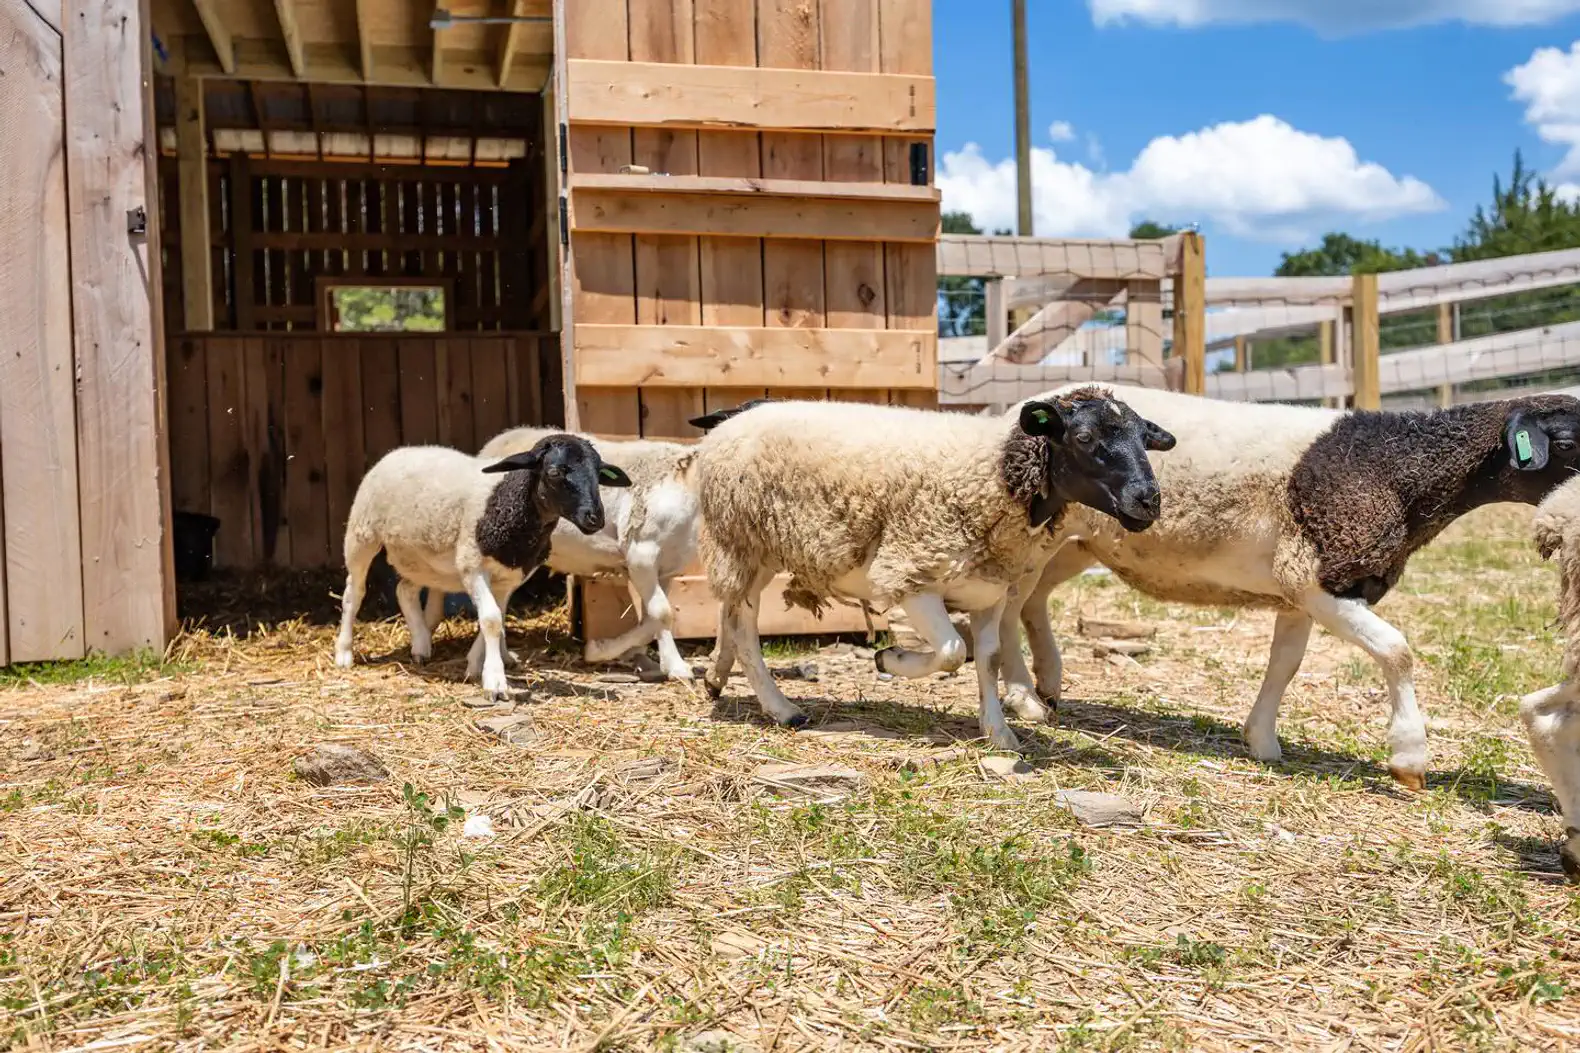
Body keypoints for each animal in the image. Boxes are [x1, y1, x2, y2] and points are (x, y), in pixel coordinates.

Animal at [333, 434, 632, 698]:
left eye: (599, 474)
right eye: (555, 472)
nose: (595, 518)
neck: (508, 505)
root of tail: (402, 449)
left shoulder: (510, 576)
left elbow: (496, 617)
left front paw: (478, 666)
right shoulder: (472, 566)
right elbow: (490, 619)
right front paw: (495, 681)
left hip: (421, 557)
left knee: (404, 590)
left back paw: (421, 644)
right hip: (362, 534)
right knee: (353, 593)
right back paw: (344, 652)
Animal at [473, 426, 700, 680]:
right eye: (554, 473)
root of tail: (495, 442)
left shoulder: (667, 567)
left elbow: (653, 618)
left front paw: (648, 657)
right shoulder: (642, 556)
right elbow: (662, 613)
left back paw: (503, 656)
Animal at [689, 390, 1175, 750]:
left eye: (1143, 439)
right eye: (1085, 437)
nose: (1148, 501)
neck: (996, 473)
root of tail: (738, 413)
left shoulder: (989, 591)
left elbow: (989, 660)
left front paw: (999, 732)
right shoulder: (912, 575)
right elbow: (952, 651)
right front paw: (890, 659)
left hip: (750, 551)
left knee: (728, 613)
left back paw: (715, 678)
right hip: (739, 540)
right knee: (744, 627)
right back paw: (782, 709)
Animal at [995, 382, 1580, 790]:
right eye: (1570, 440)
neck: (1397, 467)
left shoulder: (1300, 589)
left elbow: (1286, 663)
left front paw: (1261, 740)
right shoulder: (1321, 578)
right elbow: (1397, 650)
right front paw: (1409, 758)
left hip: (1075, 542)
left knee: (1033, 600)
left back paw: (1047, 681)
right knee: (1010, 604)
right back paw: (1023, 697)